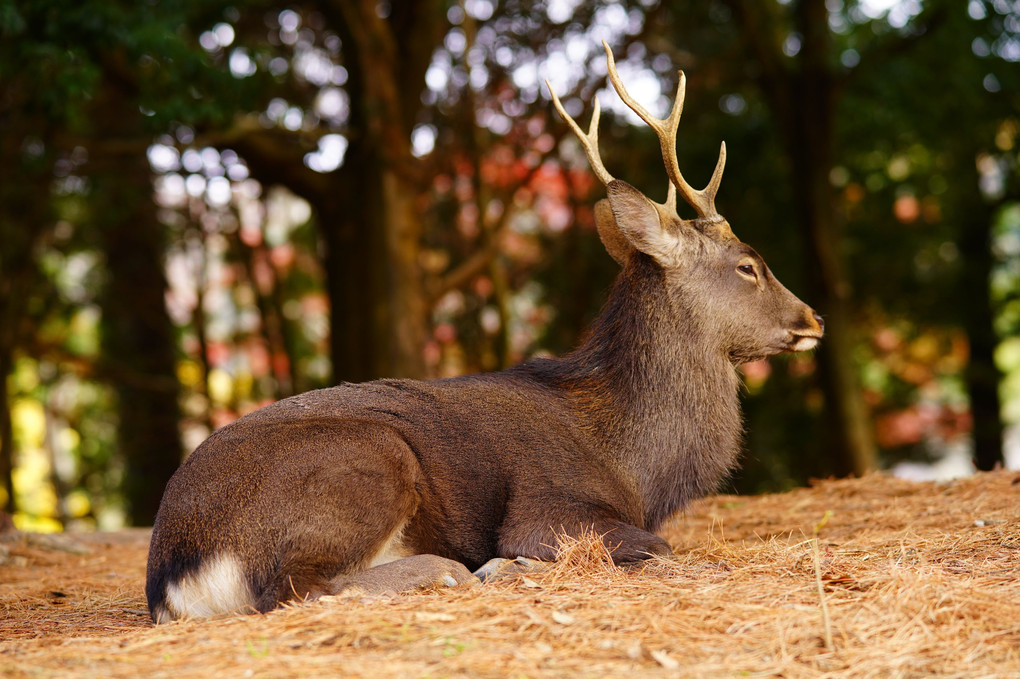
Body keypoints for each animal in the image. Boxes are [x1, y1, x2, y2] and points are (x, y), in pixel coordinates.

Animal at [147, 42, 824, 619]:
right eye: (748, 265)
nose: (814, 318)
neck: (635, 463)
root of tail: (174, 574)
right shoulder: (548, 507)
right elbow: (657, 547)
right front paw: (509, 565)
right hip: (366, 459)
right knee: (297, 587)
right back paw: (453, 570)